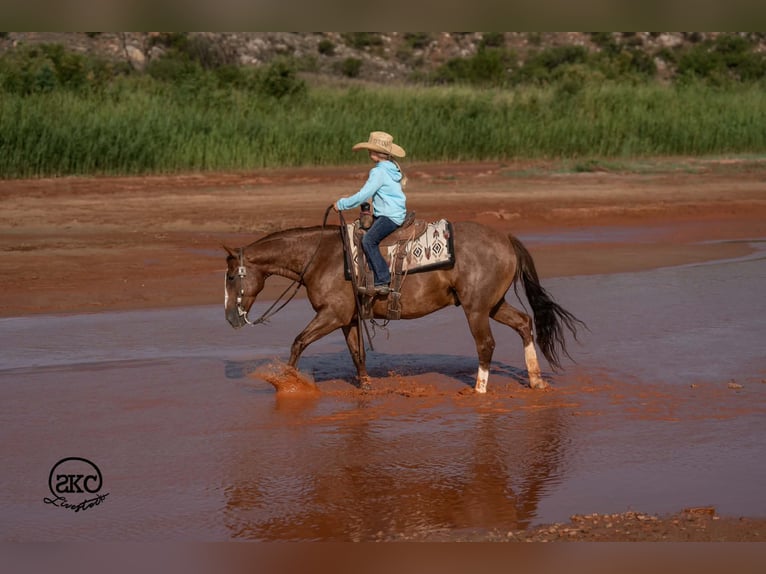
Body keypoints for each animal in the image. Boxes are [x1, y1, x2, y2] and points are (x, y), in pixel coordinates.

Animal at [224, 219, 583, 393]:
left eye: (229, 276)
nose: (230, 318)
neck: (321, 256)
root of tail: (506, 239)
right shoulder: (347, 318)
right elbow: (357, 353)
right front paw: (366, 386)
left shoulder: (331, 314)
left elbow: (298, 342)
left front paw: (288, 383)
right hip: (494, 304)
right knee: (524, 323)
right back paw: (536, 381)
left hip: (477, 309)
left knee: (486, 344)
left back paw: (479, 391)